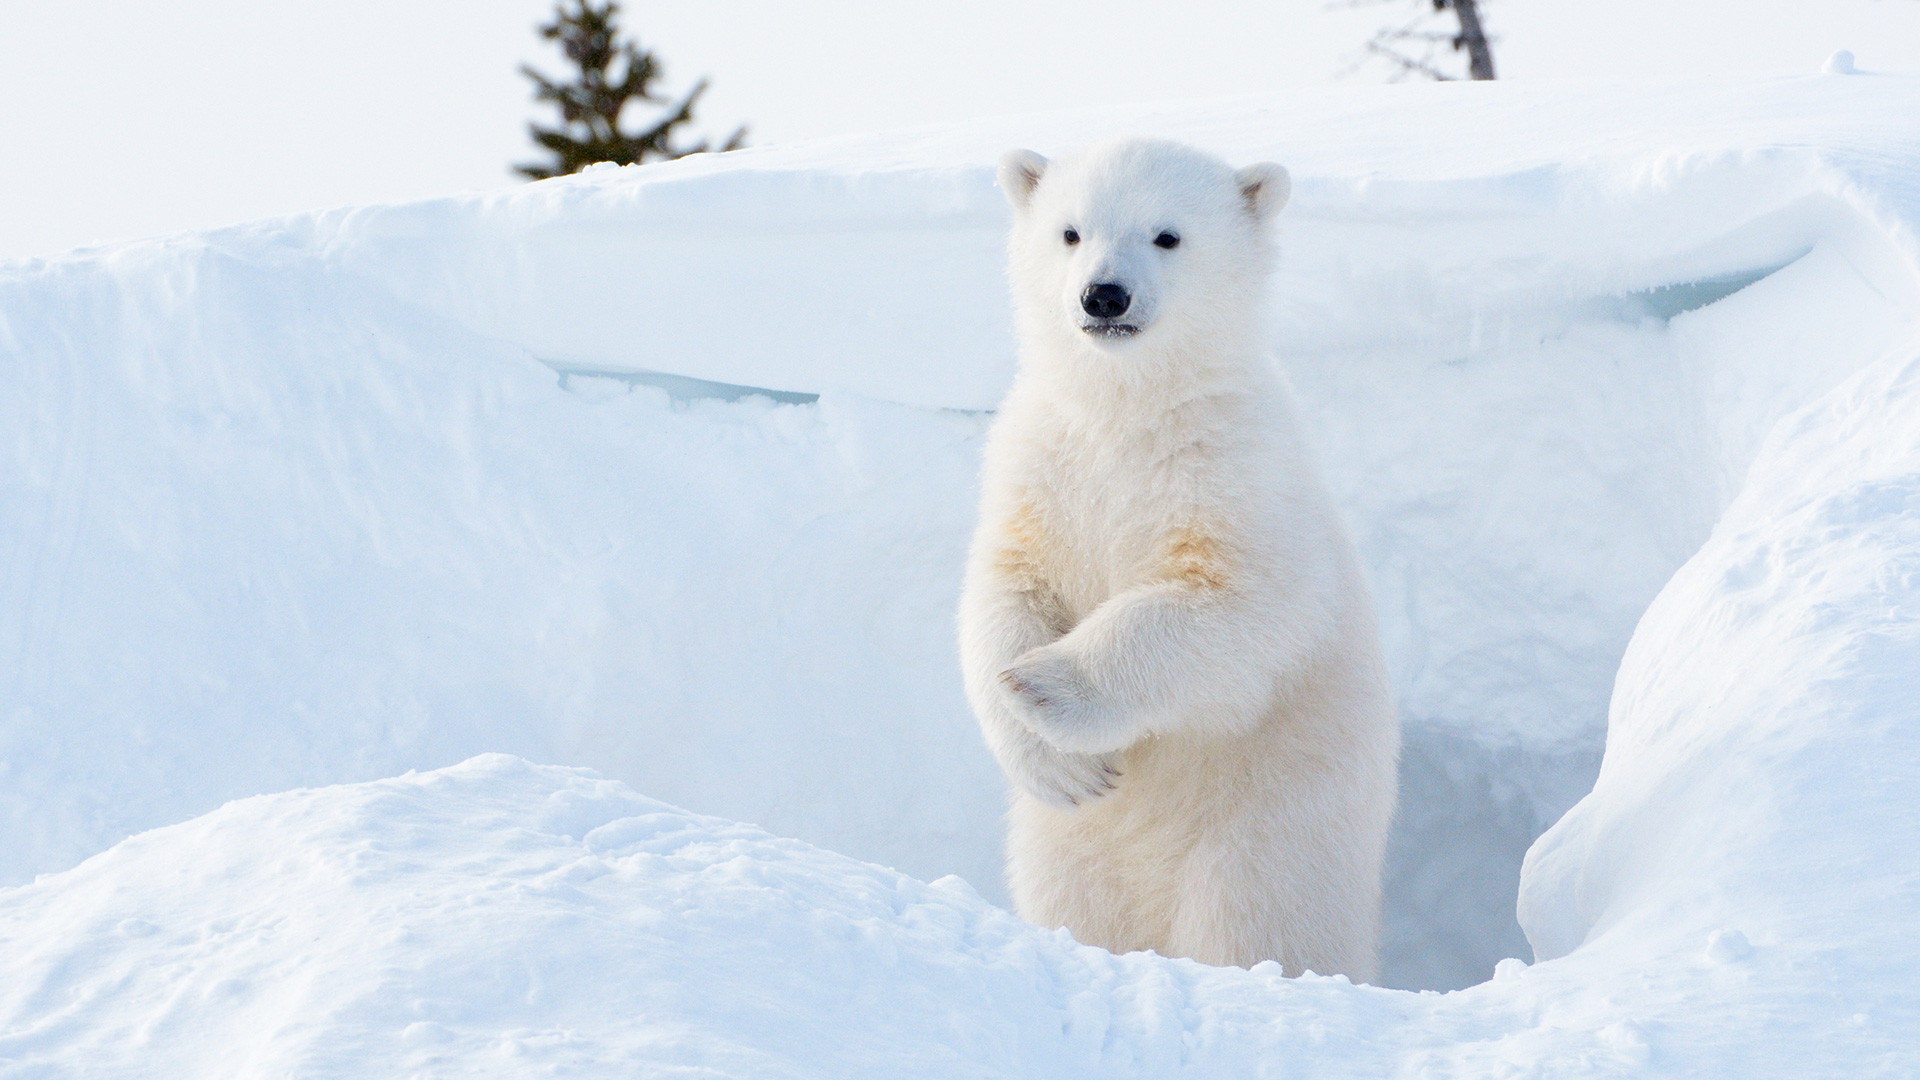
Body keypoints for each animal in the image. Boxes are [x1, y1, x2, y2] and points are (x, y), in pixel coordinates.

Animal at [956, 138, 1397, 980]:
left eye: (1168, 235)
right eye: (1070, 231)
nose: (1104, 295)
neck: (1127, 412)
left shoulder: (1236, 477)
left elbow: (1234, 609)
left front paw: (1045, 688)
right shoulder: (1040, 466)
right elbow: (1004, 587)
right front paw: (1056, 758)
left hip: (1268, 831)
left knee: (1253, 923)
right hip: (1066, 853)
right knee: (1075, 900)